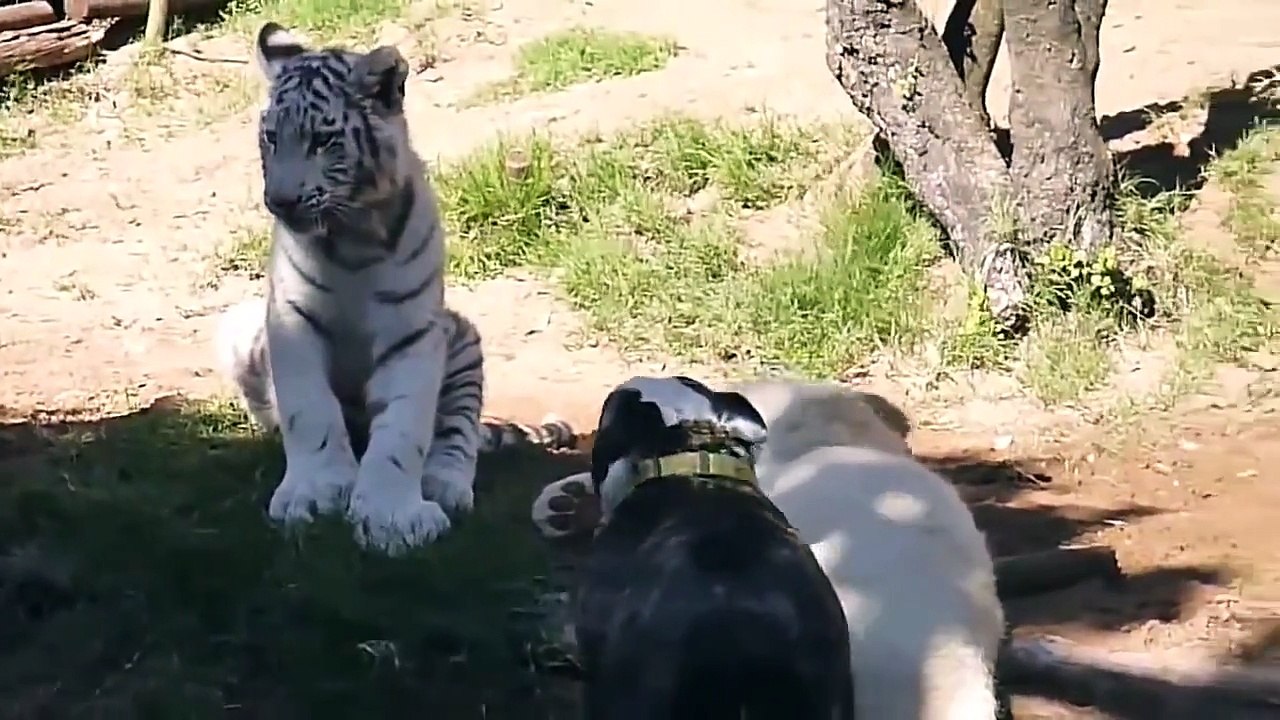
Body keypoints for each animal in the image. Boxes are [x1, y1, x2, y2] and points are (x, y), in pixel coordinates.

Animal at [215, 21, 574, 555]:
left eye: (323, 141)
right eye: (271, 138)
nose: (280, 201)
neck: (352, 239)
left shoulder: (414, 334)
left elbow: (404, 430)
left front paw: (394, 518)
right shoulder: (292, 321)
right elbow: (310, 413)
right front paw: (316, 491)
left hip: (462, 341)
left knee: (457, 434)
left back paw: (443, 484)